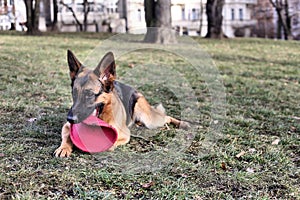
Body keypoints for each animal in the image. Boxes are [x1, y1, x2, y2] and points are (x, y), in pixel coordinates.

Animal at [54, 50, 188, 157]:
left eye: (90, 94)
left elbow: (111, 144)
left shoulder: (124, 134)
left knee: (166, 117)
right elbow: (66, 136)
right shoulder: (66, 126)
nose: (70, 118)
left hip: (147, 116)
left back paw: (182, 123)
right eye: (74, 93)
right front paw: (64, 148)